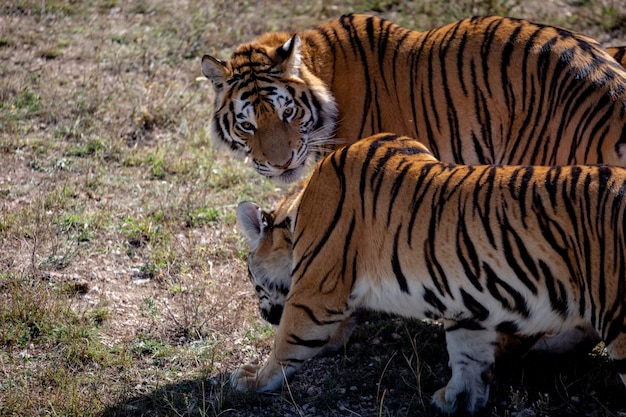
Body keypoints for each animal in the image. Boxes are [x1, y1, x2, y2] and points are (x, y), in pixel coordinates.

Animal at [233, 132, 624, 412]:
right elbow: (468, 355)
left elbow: (287, 342)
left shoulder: (314, 294)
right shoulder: (471, 301)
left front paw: (253, 379)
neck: (298, 211)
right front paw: (457, 399)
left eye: (252, 281)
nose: (263, 316)